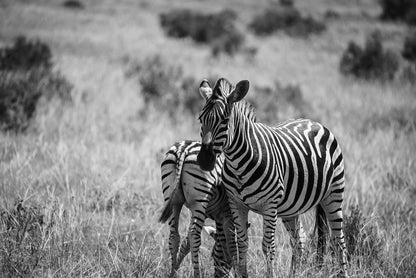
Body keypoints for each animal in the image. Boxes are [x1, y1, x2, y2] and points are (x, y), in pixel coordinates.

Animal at [159, 140, 236, 278]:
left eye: (212, 255)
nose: (219, 276)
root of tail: (183, 148)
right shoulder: (226, 214)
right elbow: (231, 244)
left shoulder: (207, 214)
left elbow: (186, 244)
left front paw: (176, 268)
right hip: (200, 201)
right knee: (194, 235)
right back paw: (197, 274)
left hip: (172, 198)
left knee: (174, 236)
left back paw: (172, 273)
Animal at [197, 78, 350, 278]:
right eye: (200, 119)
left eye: (224, 121)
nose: (204, 160)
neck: (238, 164)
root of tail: (314, 122)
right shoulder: (236, 204)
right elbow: (241, 244)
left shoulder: (270, 206)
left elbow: (268, 247)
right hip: (291, 208)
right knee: (299, 239)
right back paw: (294, 274)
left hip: (333, 194)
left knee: (339, 240)